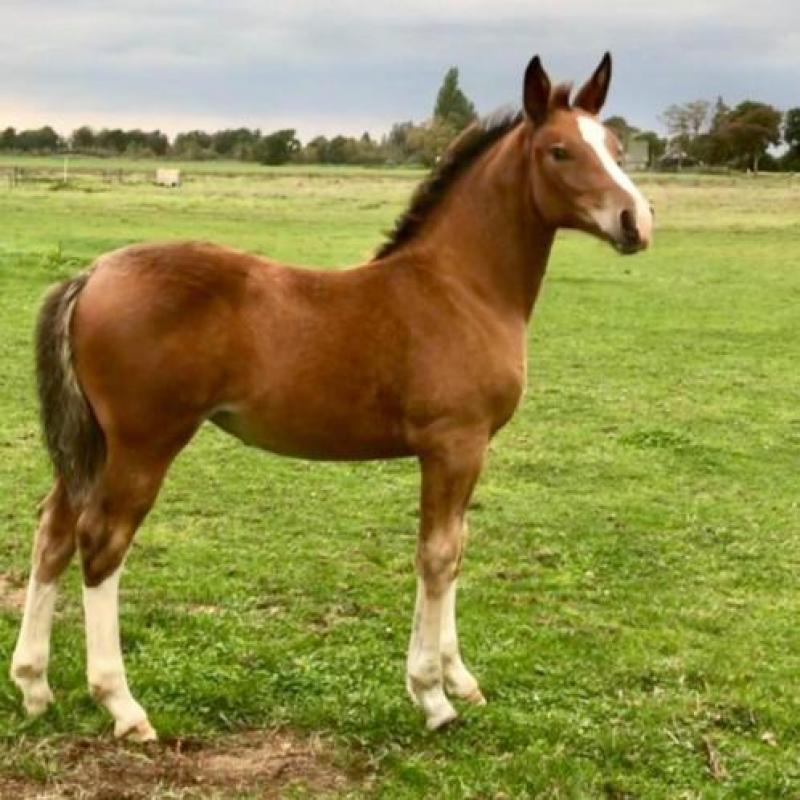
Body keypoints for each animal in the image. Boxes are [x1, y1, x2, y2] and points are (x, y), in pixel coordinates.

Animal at [10, 53, 648, 736]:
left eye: (616, 147)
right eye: (559, 151)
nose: (637, 222)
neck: (460, 288)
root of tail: (90, 274)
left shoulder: (469, 451)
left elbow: (457, 549)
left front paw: (461, 679)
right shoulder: (454, 444)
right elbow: (437, 555)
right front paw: (432, 695)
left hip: (94, 443)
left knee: (54, 529)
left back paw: (34, 685)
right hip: (144, 443)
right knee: (102, 543)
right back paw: (123, 706)